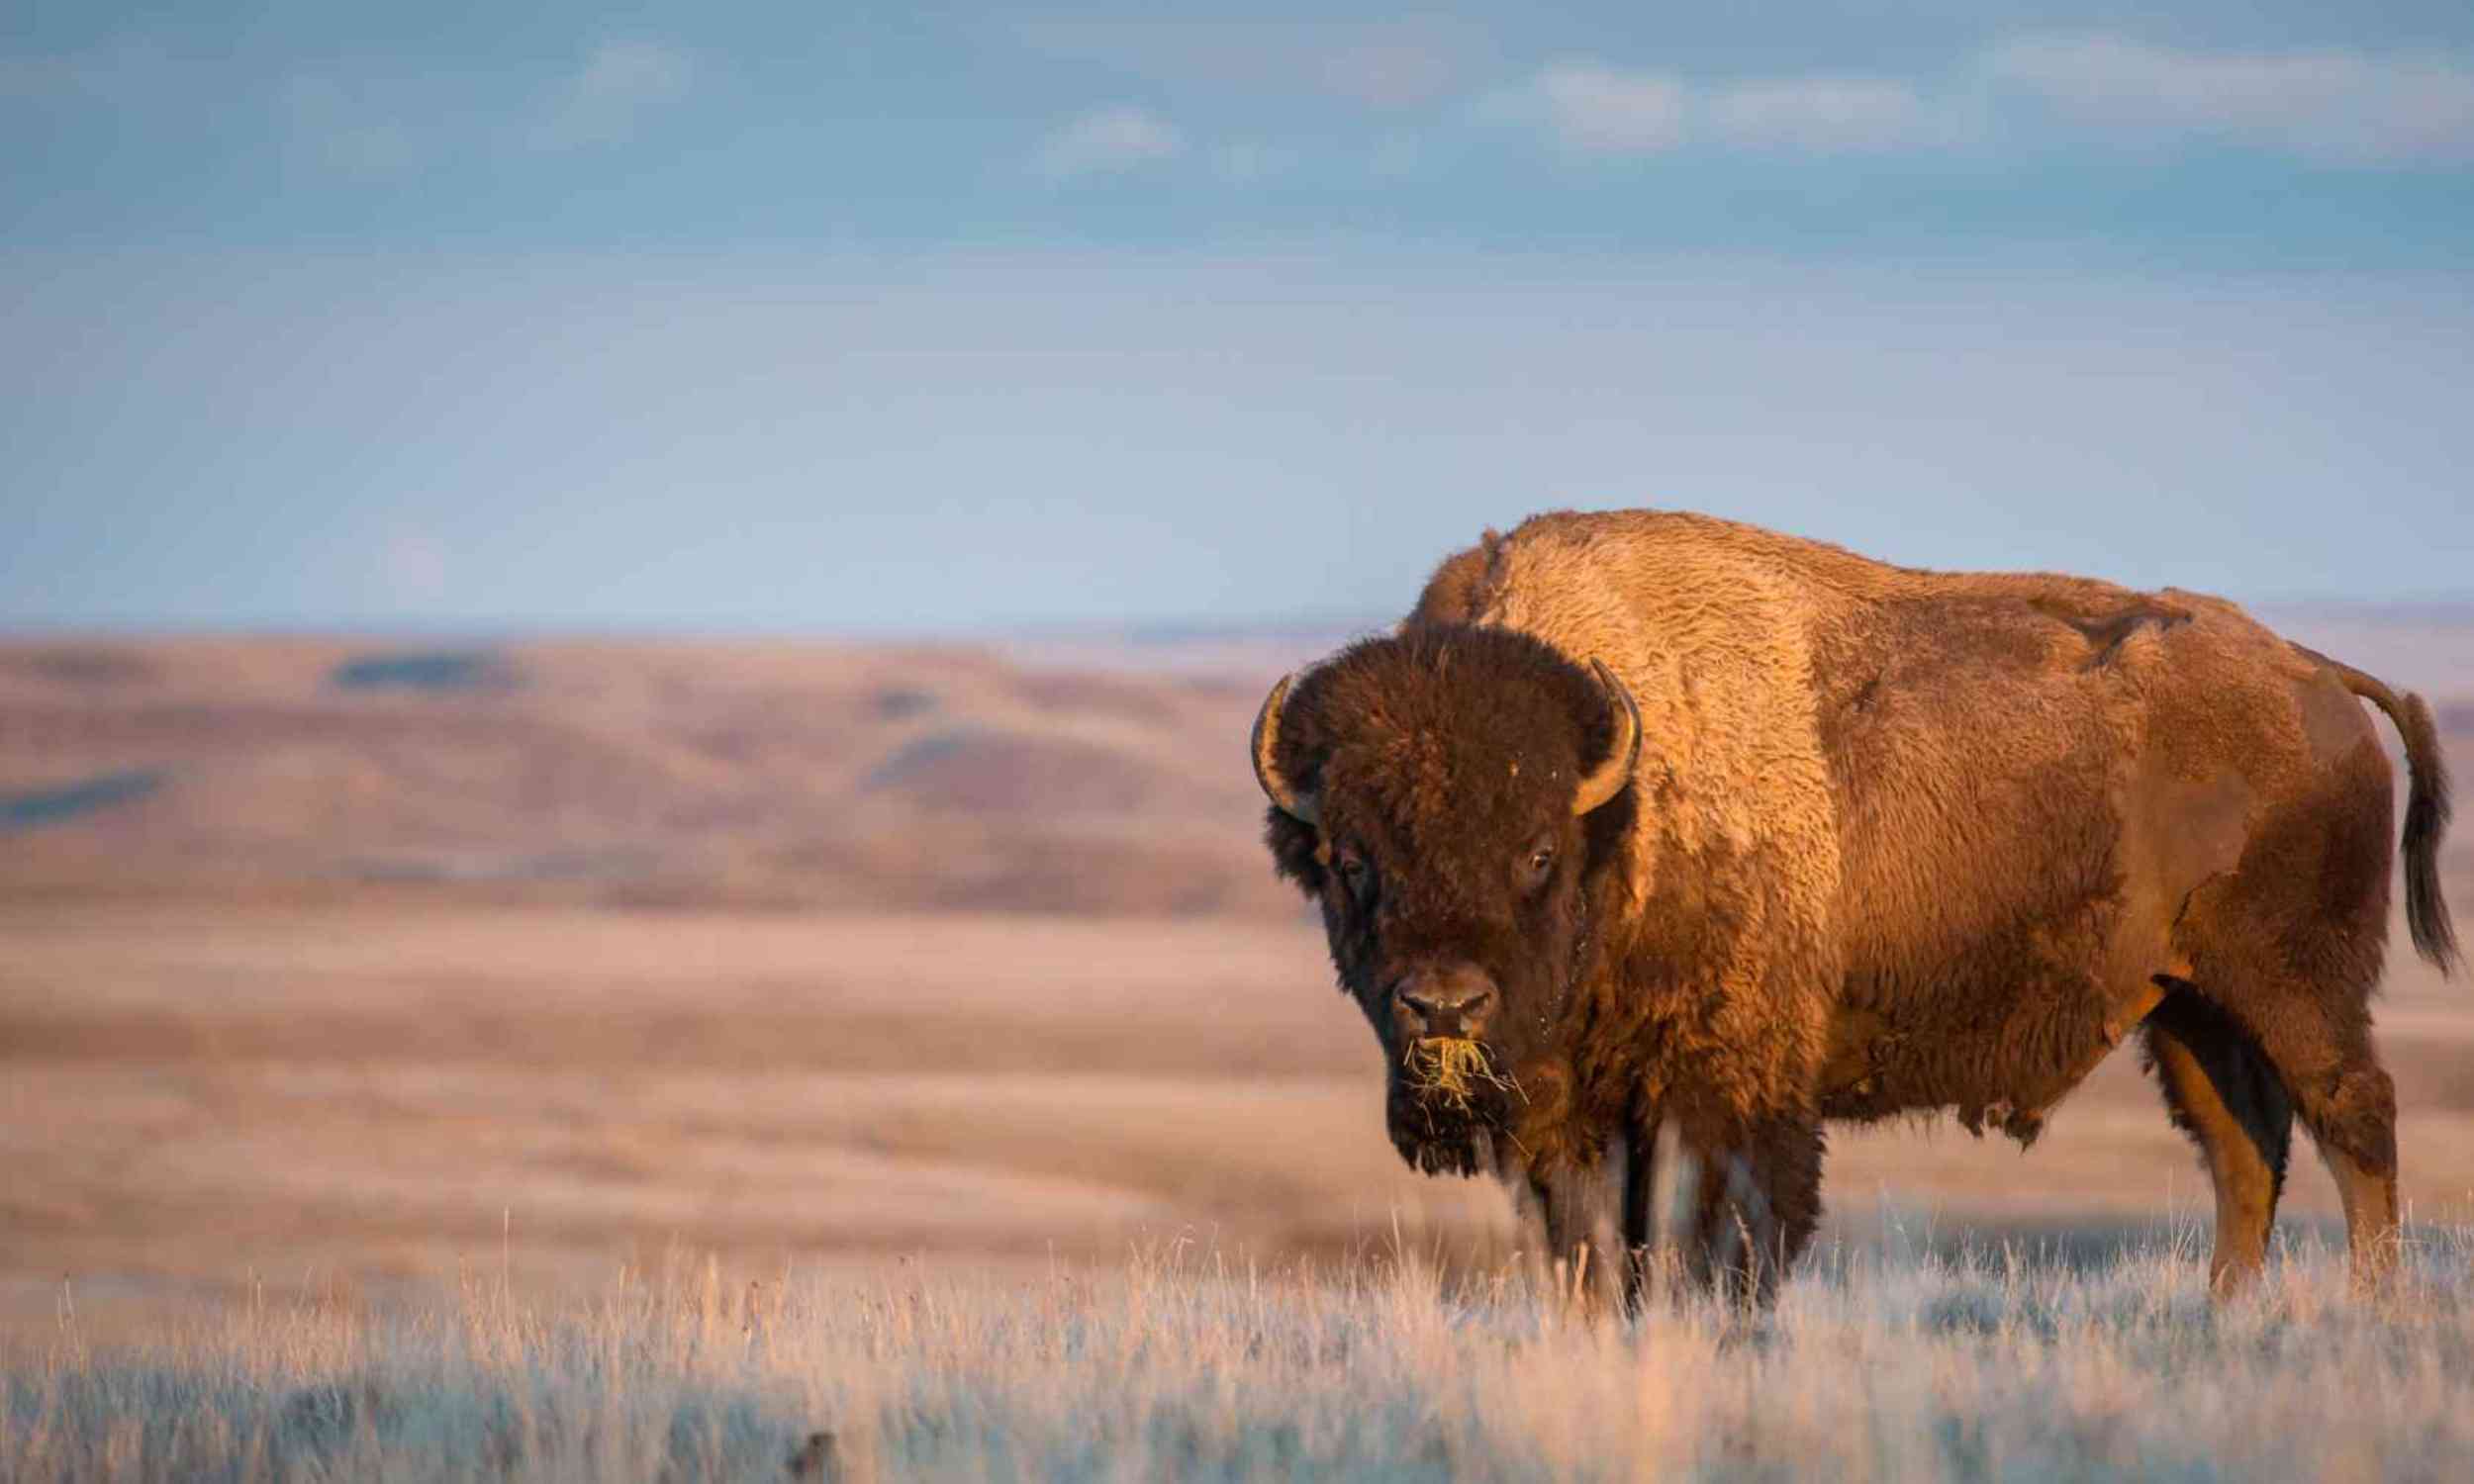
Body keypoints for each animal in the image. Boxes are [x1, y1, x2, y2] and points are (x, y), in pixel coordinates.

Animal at [1254, 510, 2456, 1302]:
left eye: (1537, 852)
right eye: (1350, 860)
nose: (1443, 1006)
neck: (1624, 800)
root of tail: (2315, 675)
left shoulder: (1723, 1091)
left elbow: (1717, 1235)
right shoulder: (1573, 1113)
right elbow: (1594, 1249)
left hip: (2294, 984)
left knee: (2354, 1119)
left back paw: (2367, 1310)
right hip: (2186, 1005)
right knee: (2244, 1148)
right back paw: (2224, 1314)